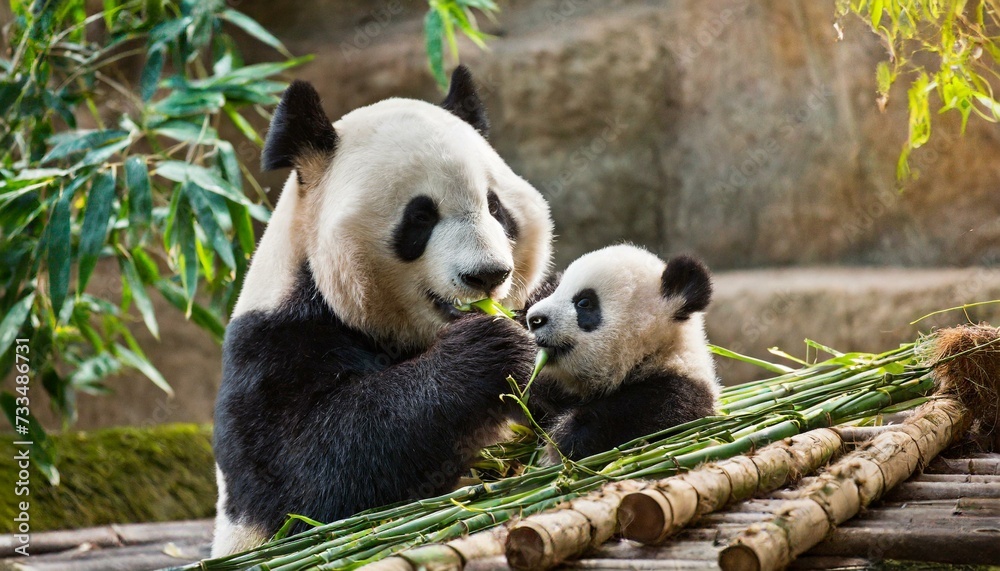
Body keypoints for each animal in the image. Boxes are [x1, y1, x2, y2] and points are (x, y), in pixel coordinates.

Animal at [211, 67, 554, 556]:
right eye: (421, 217)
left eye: (495, 207)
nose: (487, 274)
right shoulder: (272, 345)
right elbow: (306, 476)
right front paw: (494, 353)